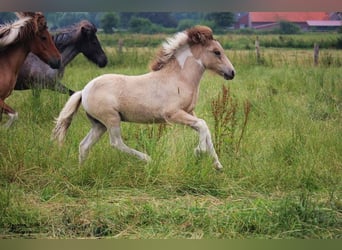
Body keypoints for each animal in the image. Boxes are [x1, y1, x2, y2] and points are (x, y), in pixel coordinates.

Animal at [52, 25, 235, 170]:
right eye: (216, 52)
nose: (232, 73)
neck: (179, 78)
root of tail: (83, 91)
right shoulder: (173, 114)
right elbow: (203, 125)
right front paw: (198, 152)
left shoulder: (189, 112)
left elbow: (205, 128)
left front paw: (218, 165)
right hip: (111, 119)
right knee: (116, 143)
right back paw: (148, 159)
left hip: (99, 125)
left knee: (84, 146)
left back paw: (81, 170)